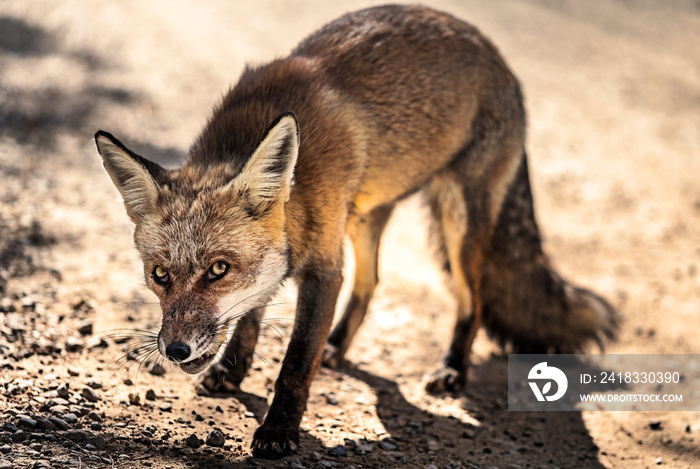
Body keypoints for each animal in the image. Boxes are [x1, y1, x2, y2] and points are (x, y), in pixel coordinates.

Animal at [94, 3, 616, 458]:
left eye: (218, 270)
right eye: (160, 276)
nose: (174, 350)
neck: (297, 182)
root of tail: (490, 48)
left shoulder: (324, 268)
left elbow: (294, 360)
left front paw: (279, 431)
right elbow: (251, 316)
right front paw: (231, 372)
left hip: (459, 223)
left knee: (474, 300)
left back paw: (451, 368)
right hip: (364, 219)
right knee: (371, 283)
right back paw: (338, 345)